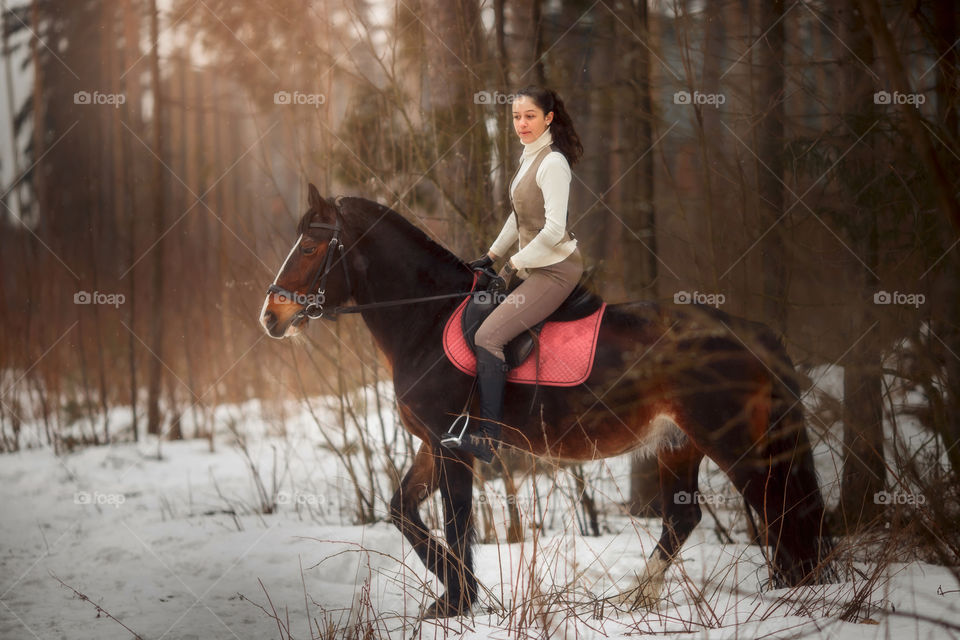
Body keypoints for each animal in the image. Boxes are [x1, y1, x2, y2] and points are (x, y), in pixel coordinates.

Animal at [260, 184, 832, 616]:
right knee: (685, 518)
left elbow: (456, 522)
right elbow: (403, 510)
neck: (427, 318)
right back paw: (640, 598)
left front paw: (459, 603)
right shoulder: (431, 442)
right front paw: (454, 596)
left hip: (729, 439)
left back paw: (790, 591)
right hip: (678, 441)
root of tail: (749, 332)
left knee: (775, 503)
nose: (271, 317)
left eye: (309, 249)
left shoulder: (453, 445)